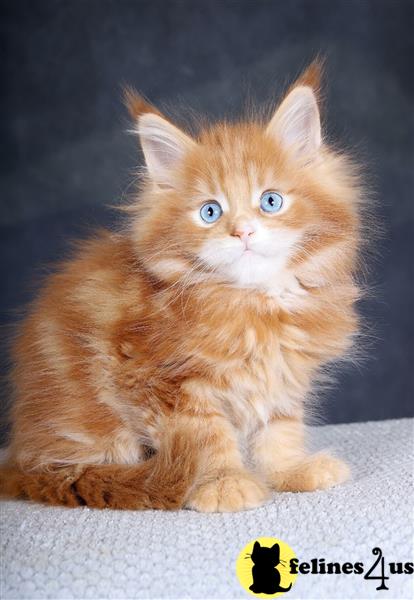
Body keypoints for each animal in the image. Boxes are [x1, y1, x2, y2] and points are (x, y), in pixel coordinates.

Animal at [0, 62, 362, 510]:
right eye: (210, 212)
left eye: (271, 201)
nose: (242, 231)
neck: (253, 305)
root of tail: (23, 460)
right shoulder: (163, 383)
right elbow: (206, 437)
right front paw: (225, 483)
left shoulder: (282, 376)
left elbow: (278, 430)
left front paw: (290, 471)